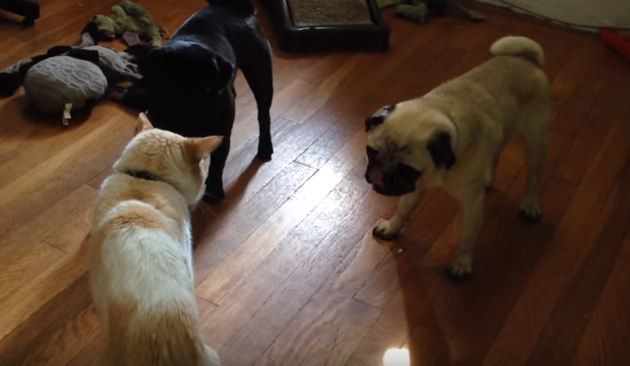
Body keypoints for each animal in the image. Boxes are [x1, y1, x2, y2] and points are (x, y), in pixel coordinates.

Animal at [119, 0, 272, 202]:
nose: (187, 104)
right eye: (165, 86)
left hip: (260, 75)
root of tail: (237, 9)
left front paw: (213, 189)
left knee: (263, 114)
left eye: (205, 89)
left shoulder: (221, 132)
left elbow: (218, 162)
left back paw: (265, 147)